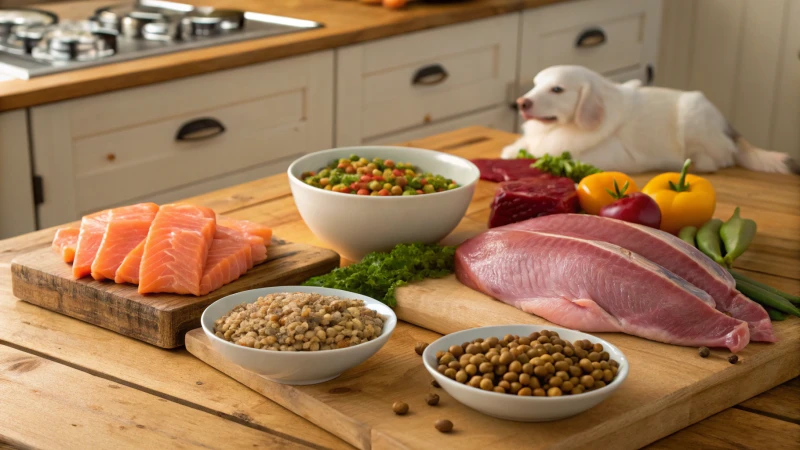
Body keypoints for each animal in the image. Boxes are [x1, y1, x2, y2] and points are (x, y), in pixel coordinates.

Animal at [504, 65, 796, 174]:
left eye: (557, 89)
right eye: (535, 85)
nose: (521, 102)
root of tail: (729, 125)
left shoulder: (609, 157)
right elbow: (517, 148)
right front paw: (514, 151)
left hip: (693, 114)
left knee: (718, 159)